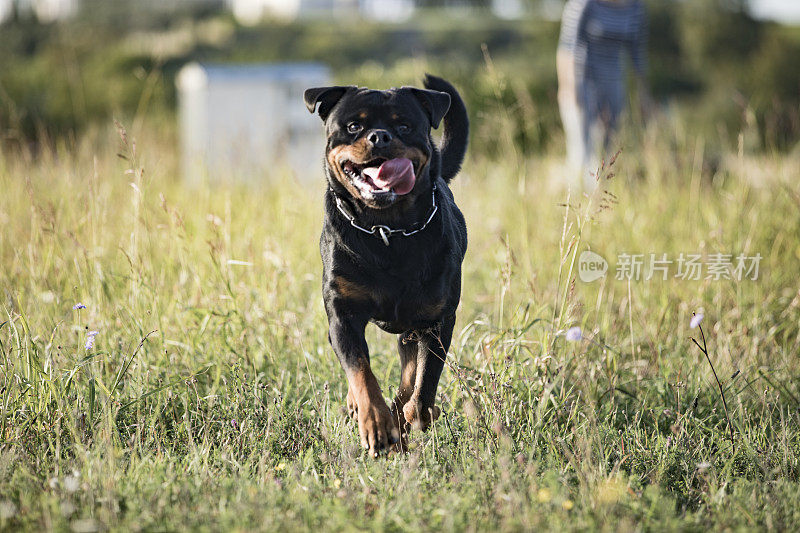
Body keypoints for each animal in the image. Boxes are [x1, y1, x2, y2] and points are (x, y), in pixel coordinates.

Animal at [304, 75, 468, 458]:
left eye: (404, 126)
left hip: (412, 329)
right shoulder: (343, 315)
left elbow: (423, 384)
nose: (379, 136)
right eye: (353, 126)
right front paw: (376, 423)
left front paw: (409, 417)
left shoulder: (437, 322)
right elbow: (361, 371)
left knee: (410, 379)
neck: (386, 230)